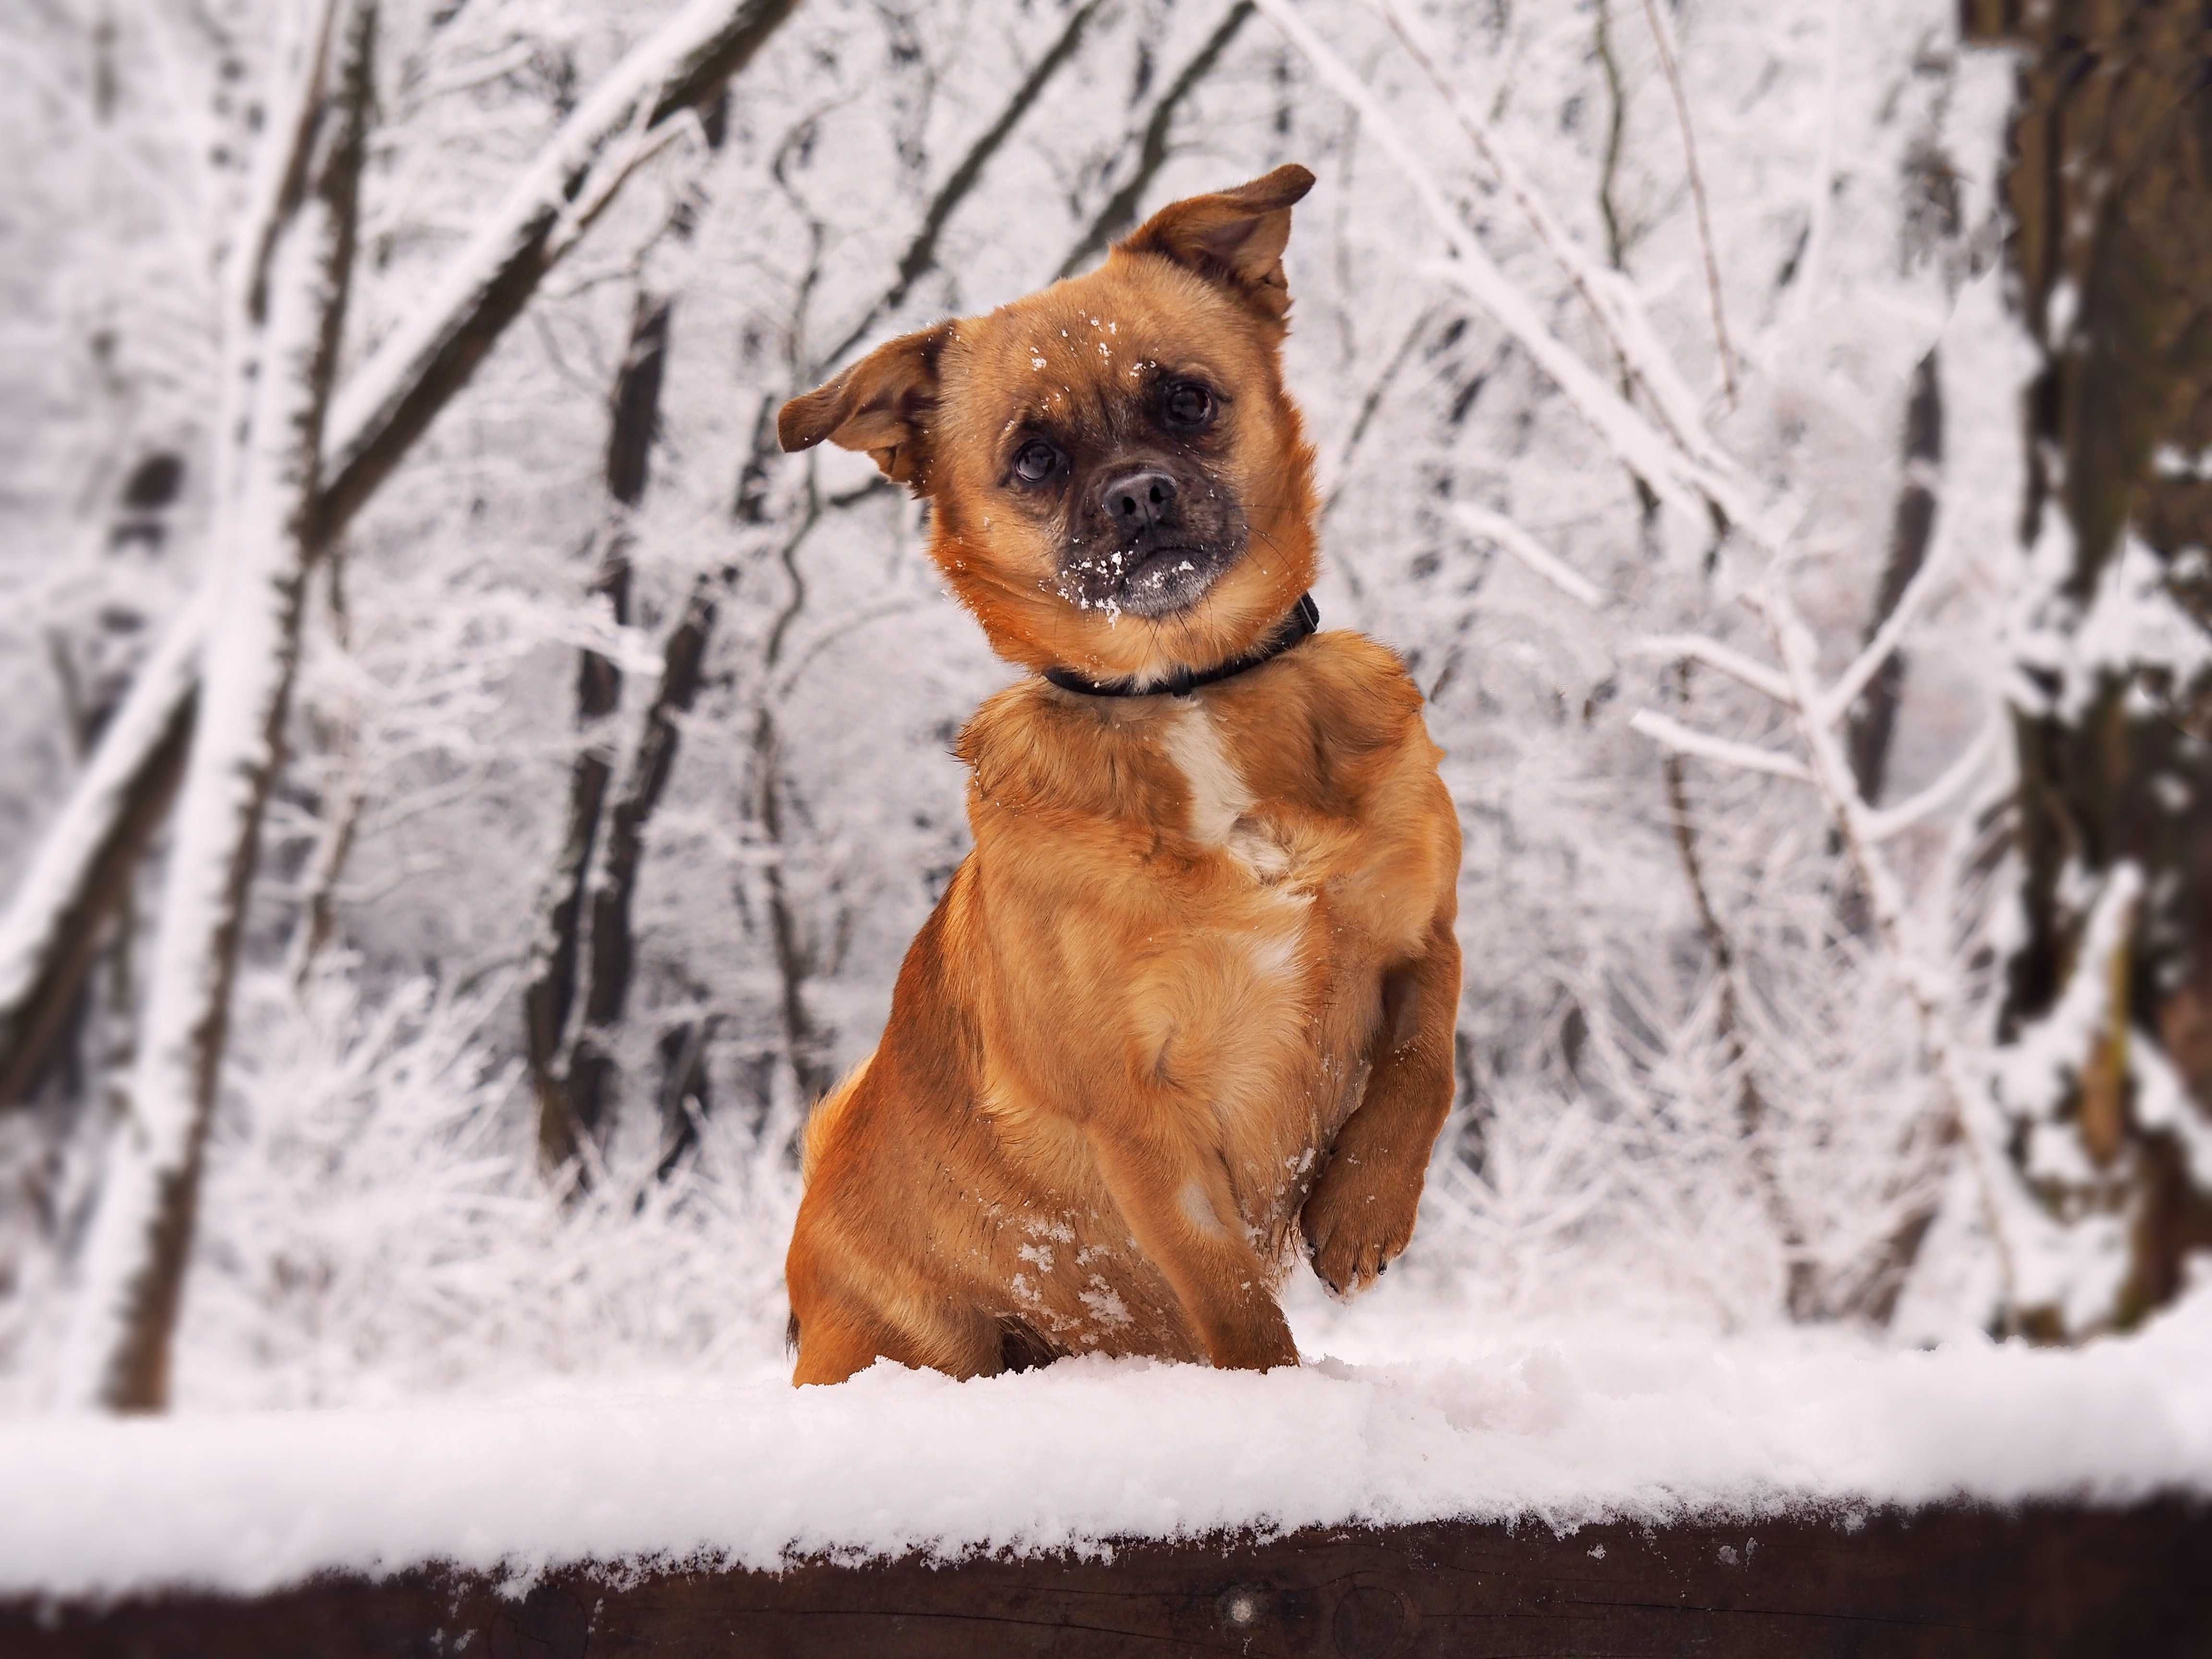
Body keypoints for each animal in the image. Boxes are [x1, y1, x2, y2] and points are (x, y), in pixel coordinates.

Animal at [769, 166, 1460, 1389]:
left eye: (1187, 399)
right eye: (1034, 458)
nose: (1138, 493)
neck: (1187, 691)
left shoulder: (1427, 927)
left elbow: (1430, 1051)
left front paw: (1364, 1208)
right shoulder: (1141, 1122)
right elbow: (1233, 1302)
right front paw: (1286, 1394)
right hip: (926, 1342)